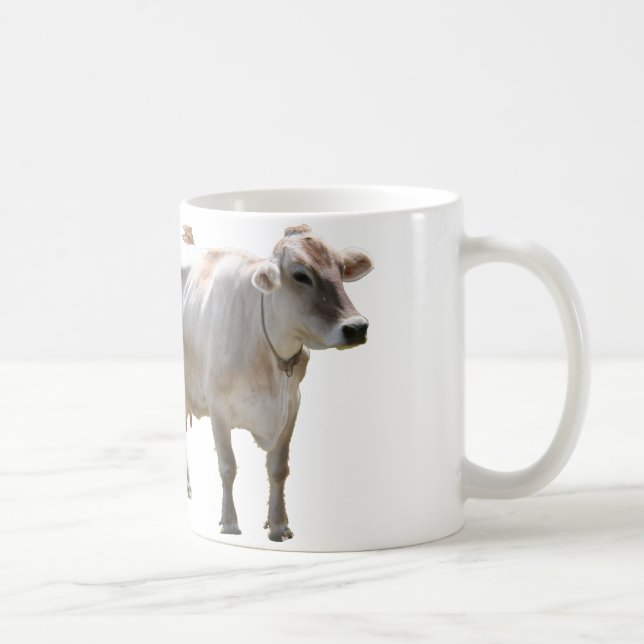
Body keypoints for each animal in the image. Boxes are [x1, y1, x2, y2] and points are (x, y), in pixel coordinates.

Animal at [181, 223, 373, 541]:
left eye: (341, 269)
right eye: (301, 275)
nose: (357, 327)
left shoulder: (292, 405)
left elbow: (278, 468)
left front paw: (278, 524)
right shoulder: (218, 408)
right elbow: (228, 466)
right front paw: (229, 522)